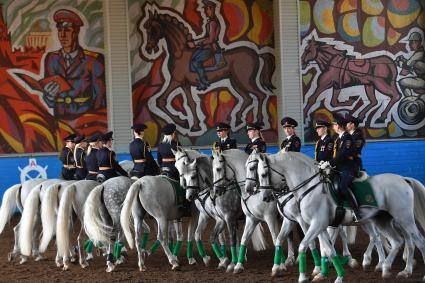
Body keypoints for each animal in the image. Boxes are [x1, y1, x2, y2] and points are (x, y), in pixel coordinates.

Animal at [139, 8, 274, 131]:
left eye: (151, 30)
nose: (148, 48)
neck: (180, 53)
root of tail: (256, 53)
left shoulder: (176, 81)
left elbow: (160, 100)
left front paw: (182, 122)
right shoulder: (185, 84)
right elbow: (191, 103)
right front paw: (194, 126)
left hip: (244, 80)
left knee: (260, 95)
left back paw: (260, 121)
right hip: (235, 81)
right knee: (248, 98)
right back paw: (238, 119)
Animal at [247, 153, 424, 283]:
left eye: (263, 173)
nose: (264, 197)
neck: (307, 187)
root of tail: (404, 179)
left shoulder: (315, 224)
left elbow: (304, 246)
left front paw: (304, 276)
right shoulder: (319, 226)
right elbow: (329, 250)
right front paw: (337, 276)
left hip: (403, 218)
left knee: (415, 241)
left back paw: (408, 271)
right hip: (382, 221)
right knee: (396, 241)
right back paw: (388, 268)